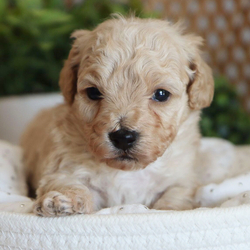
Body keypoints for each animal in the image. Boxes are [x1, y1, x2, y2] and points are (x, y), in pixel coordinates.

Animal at [20, 15, 214, 216]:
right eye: (93, 92)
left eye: (161, 94)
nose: (123, 137)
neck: (128, 172)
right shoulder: (64, 168)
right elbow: (68, 183)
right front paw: (63, 201)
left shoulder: (182, 179)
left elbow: (176, 196)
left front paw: (168, 210)